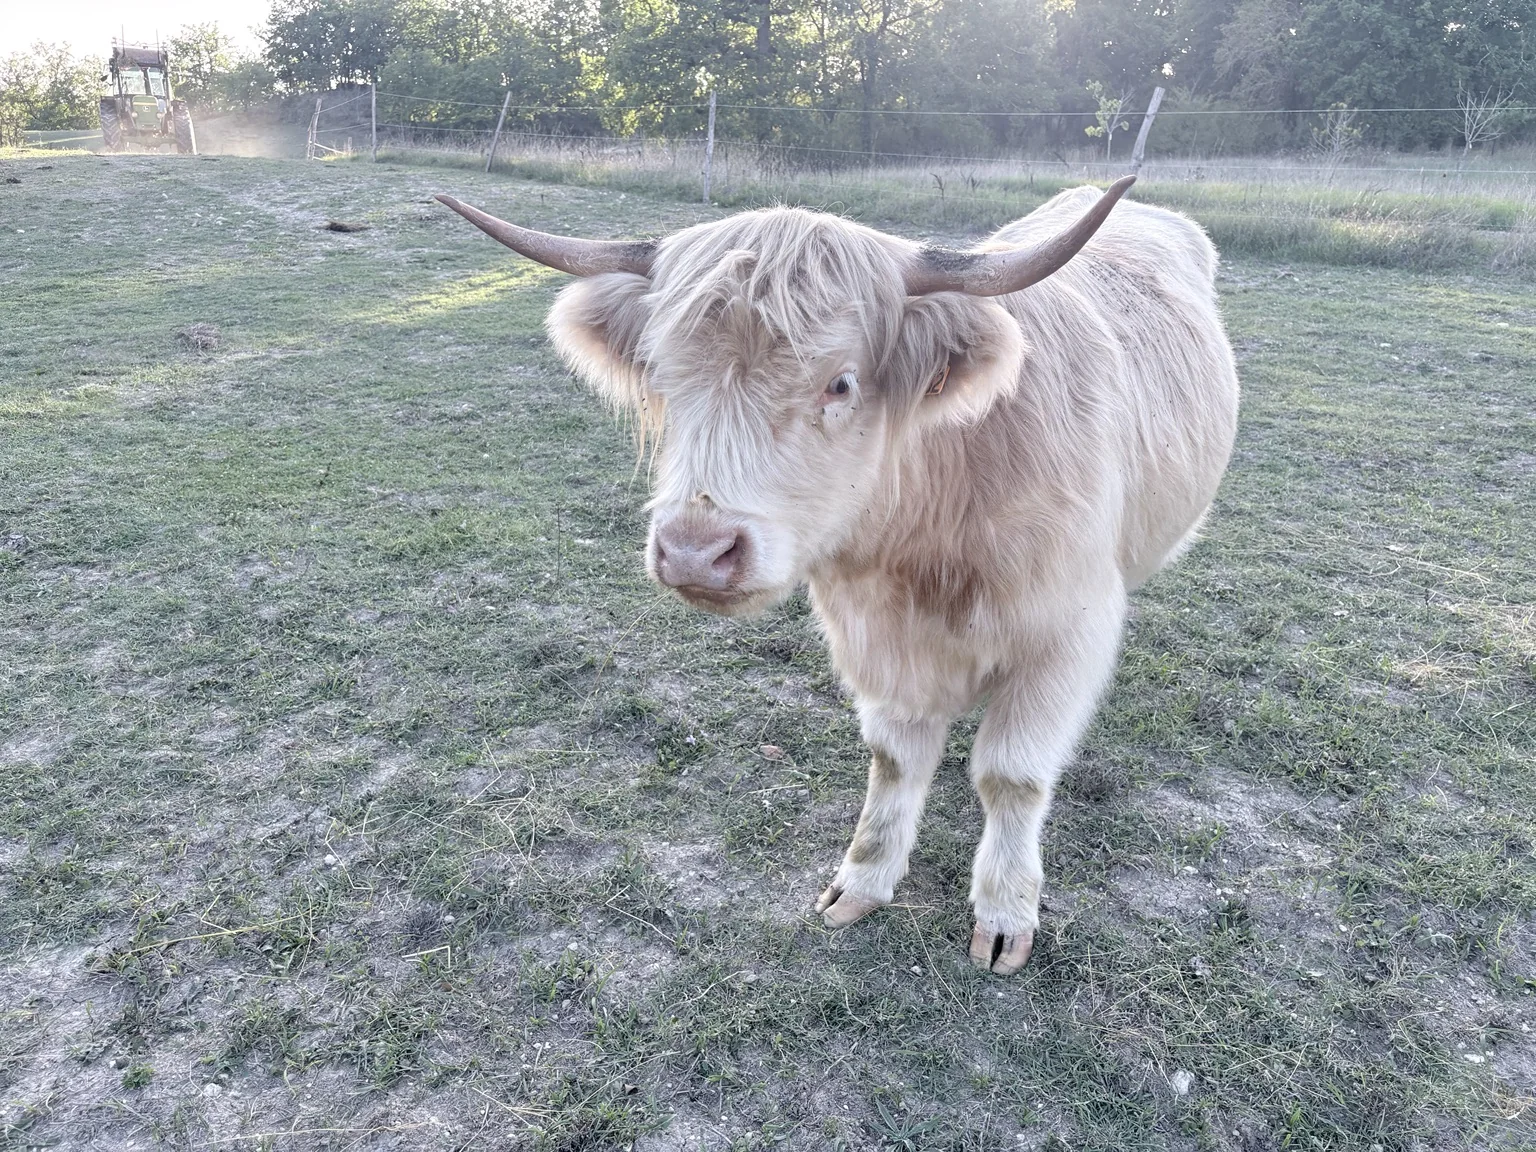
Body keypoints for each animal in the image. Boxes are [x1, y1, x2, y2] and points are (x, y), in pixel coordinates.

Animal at [436, 177, 1239, 974]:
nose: (695, 551)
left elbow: (1012, 774)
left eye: (841, 383)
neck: (934, 533)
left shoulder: (1063, 634)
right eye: (662, 376)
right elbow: (893, 760)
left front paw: (1005, 914)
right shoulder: (873, 634)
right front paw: (863, 880)